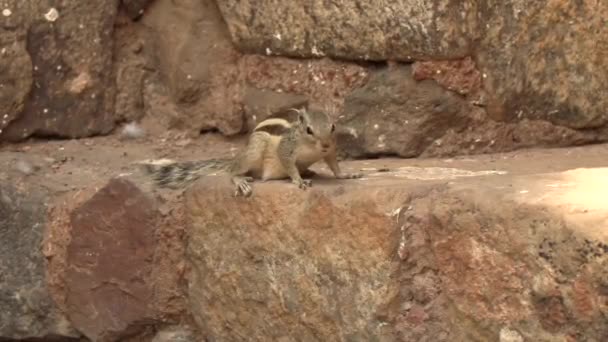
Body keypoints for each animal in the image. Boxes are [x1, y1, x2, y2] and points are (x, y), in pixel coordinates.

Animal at [140, 108, 364, 196]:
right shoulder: (286, 148)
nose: (324, 144)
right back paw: (240, 179)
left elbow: (334, 165)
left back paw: (310, 170)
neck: (312, 149)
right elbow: (288, 164)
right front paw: (298, 180)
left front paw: (346, 174)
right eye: (309, 130)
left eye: (333, 127)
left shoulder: (330, 151)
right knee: (233, 171)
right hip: (254, 150)